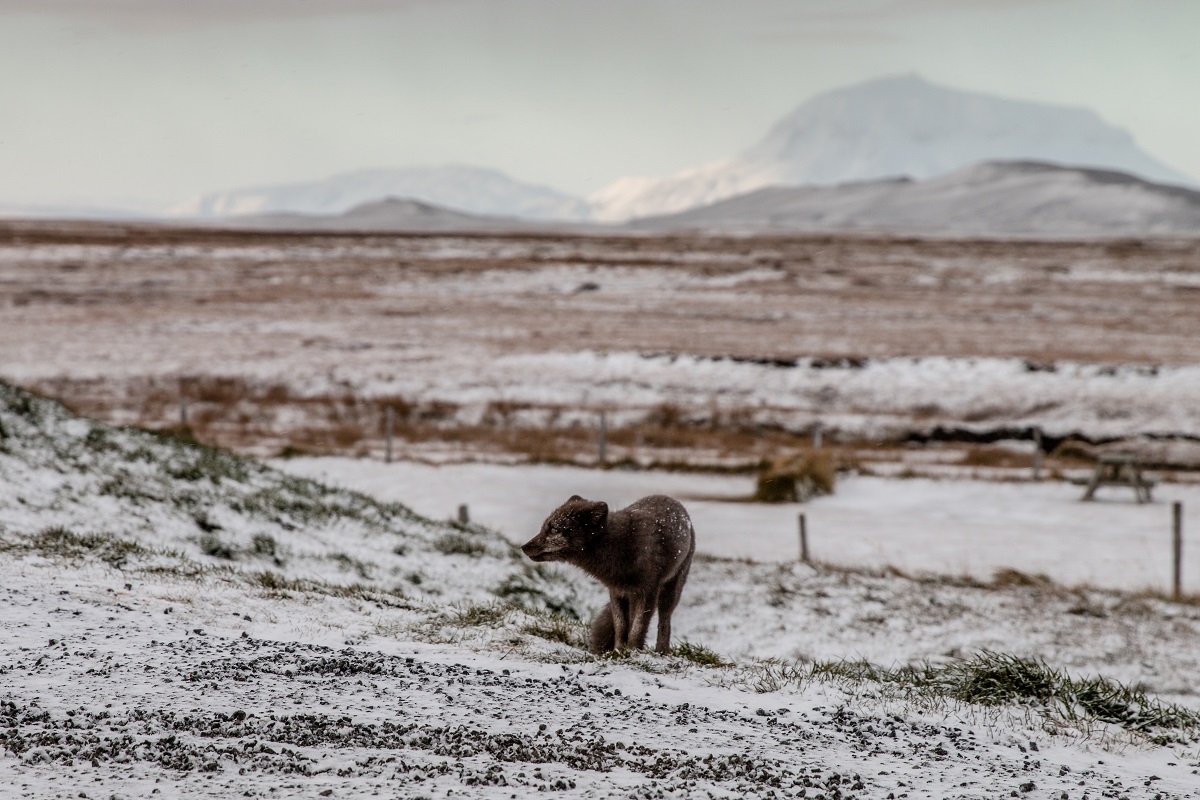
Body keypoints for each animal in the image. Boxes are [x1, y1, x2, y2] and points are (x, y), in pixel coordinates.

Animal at [520, 494, 700, 657]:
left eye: (554, 529)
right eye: (544, 527)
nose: (523, 547)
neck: (620, 546)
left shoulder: (647, 592)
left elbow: (637, 628)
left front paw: (633, 653)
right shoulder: (616, 592)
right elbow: (621, 627)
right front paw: (618, 652)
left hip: (670, 591)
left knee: (664, 622)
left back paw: (662, 652)